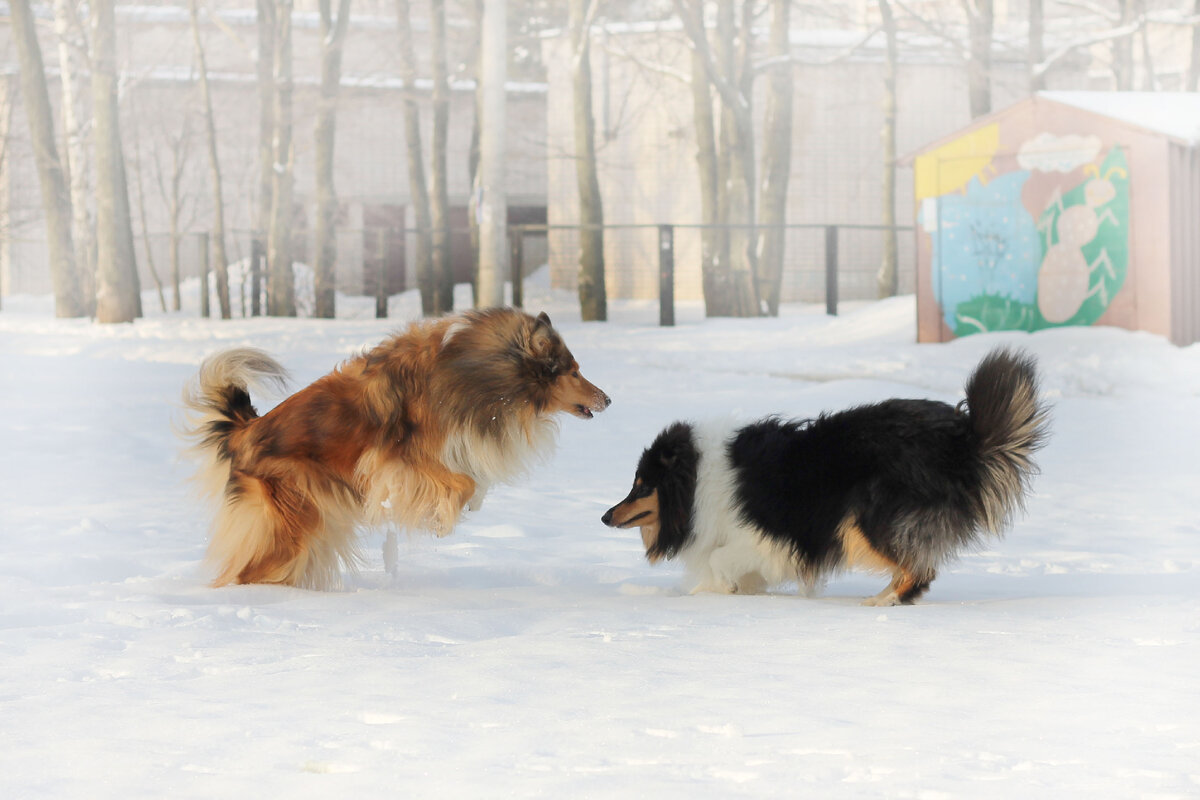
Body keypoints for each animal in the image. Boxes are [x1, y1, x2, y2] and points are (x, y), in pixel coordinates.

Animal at [181, 308, 610, 590]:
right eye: (574, 371)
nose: (608, 399)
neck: (482, 370)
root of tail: (244, 431)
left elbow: (472, 482)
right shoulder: (399, 458)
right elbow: (463, 484)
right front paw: (440, 521)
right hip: (297, 514)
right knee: (247, 571)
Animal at [602, 348, 1048, 605]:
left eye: (642, 486)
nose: (606, 516)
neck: (696, 482)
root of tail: (963, 438)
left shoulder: (765, 537)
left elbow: (718, 559)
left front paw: (712, 593)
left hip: (868, 517)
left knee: (919, 570)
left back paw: (882, 602)